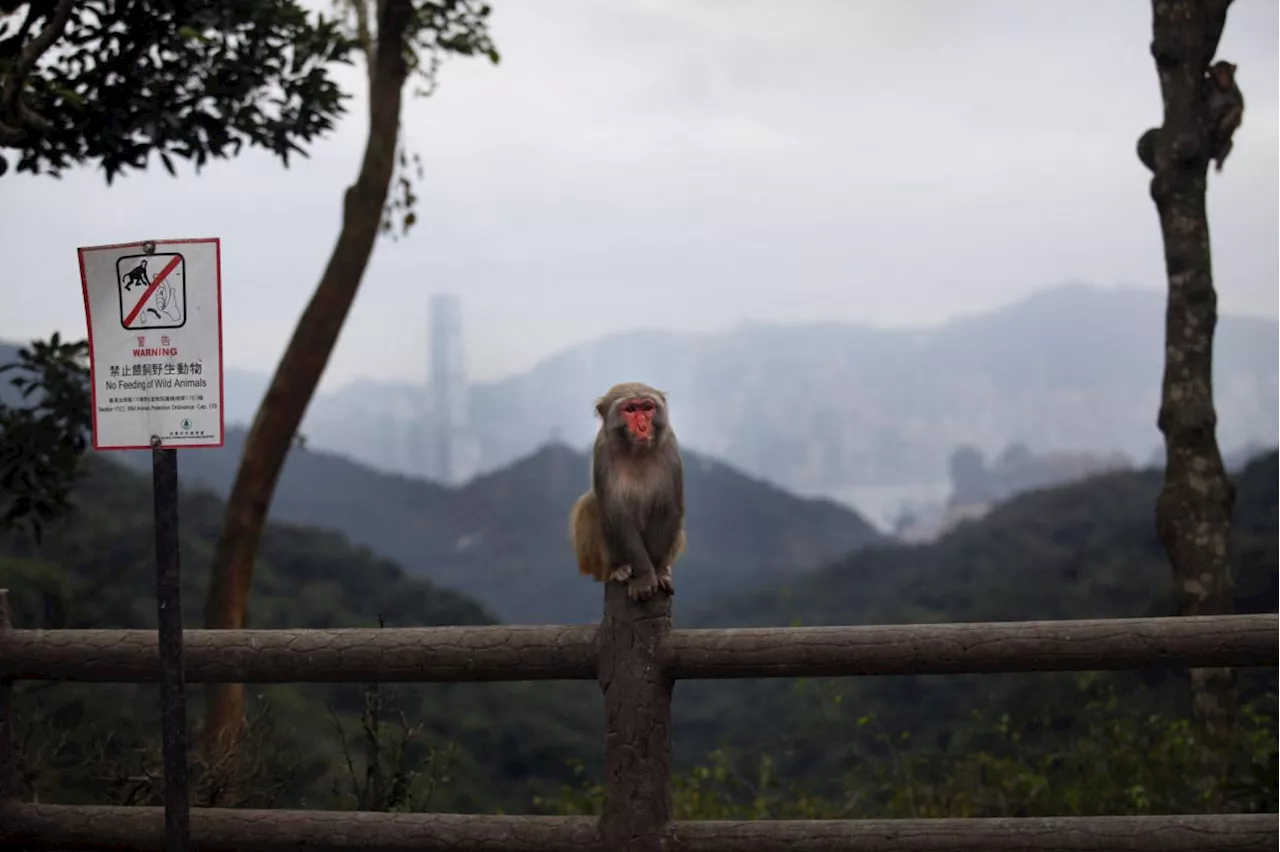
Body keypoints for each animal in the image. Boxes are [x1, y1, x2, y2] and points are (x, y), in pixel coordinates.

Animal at [570, 381, 686, 601]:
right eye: (630, 410)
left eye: (647, 408)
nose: (642, 427)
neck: (636, 452)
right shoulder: (602, 451)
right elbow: (616, 515)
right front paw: (645, 576)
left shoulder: (670, 447)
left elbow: (668, 509)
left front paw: (657, 572)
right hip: (594, 564)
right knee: (590, 505)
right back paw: (618, 569)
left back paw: (664, 568)